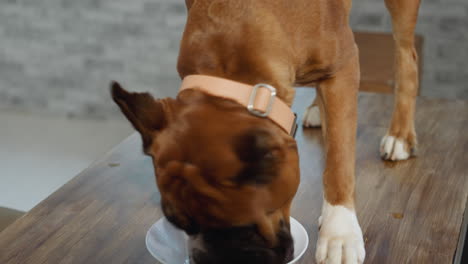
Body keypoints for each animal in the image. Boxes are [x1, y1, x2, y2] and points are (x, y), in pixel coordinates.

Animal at [110, 1, 420, 262]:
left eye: (243, 226)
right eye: (179, 224)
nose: (202, 258)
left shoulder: (343, 68)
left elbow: (339, 161)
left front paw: (339, 231)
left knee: (407, 57)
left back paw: (400, 134)